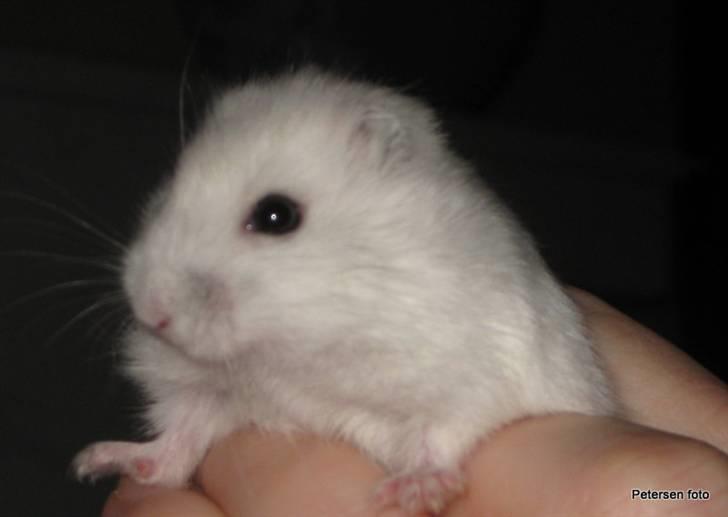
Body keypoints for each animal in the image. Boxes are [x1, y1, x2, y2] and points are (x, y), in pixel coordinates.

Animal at [73, 68, 616, 515]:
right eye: (168, 190)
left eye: (276, 215)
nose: (151, 313)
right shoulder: (208, 392)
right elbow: (175, 443)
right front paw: (91, 460)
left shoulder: (476, 367)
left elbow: (442, 432)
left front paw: (412, 495)